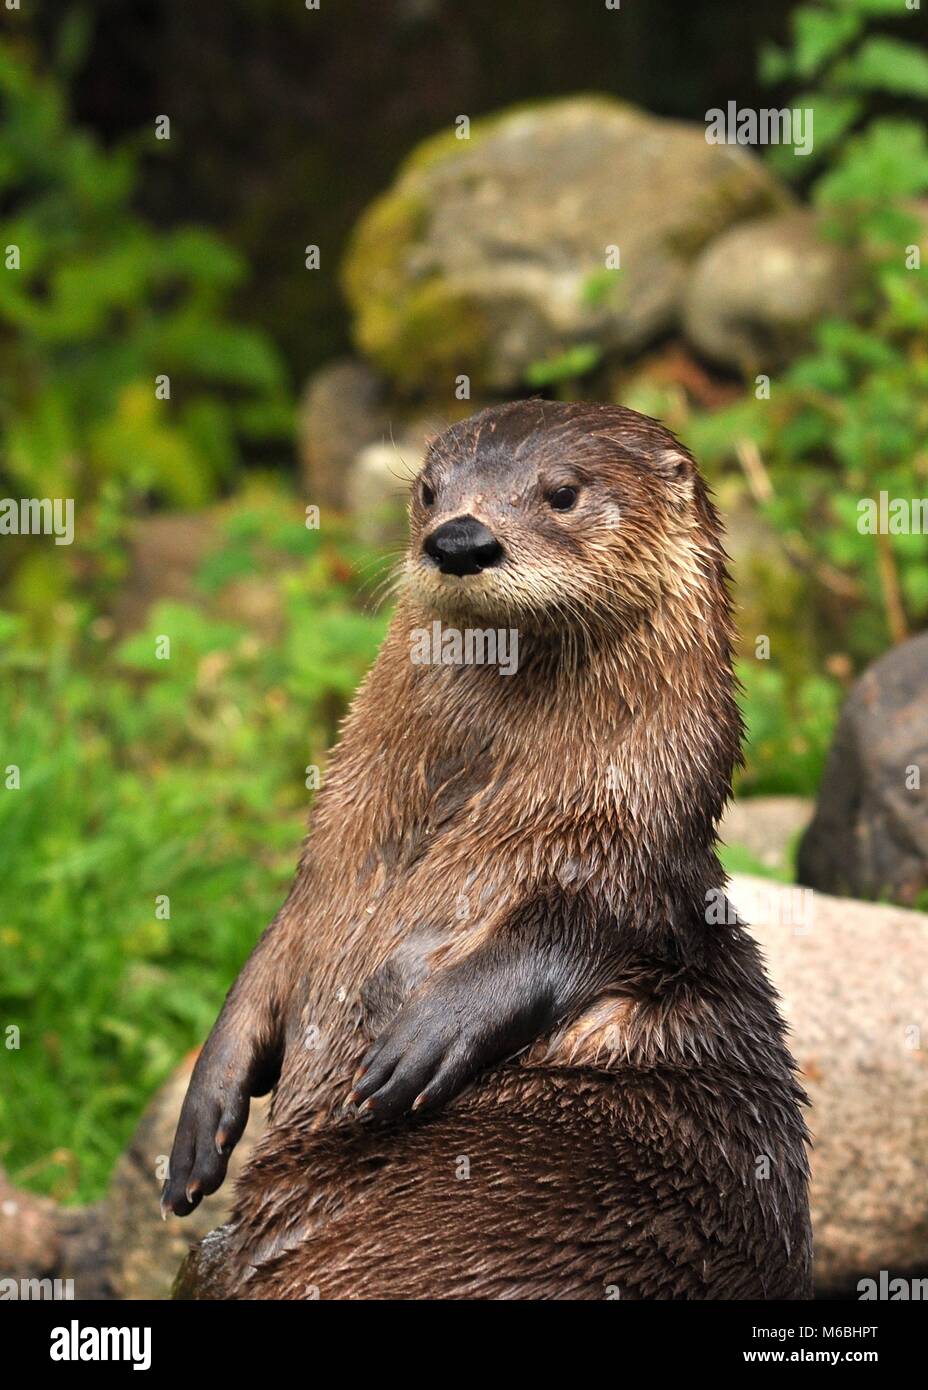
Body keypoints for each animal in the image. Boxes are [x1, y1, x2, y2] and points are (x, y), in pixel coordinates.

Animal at [163, 397, 805, 1295]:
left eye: (563, 492)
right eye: (429, 491)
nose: (460, 540)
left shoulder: (620, 861)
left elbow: (564, 941)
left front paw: (426, 1035)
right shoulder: (324, 874)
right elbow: (263, 970)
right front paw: (200, 1122)